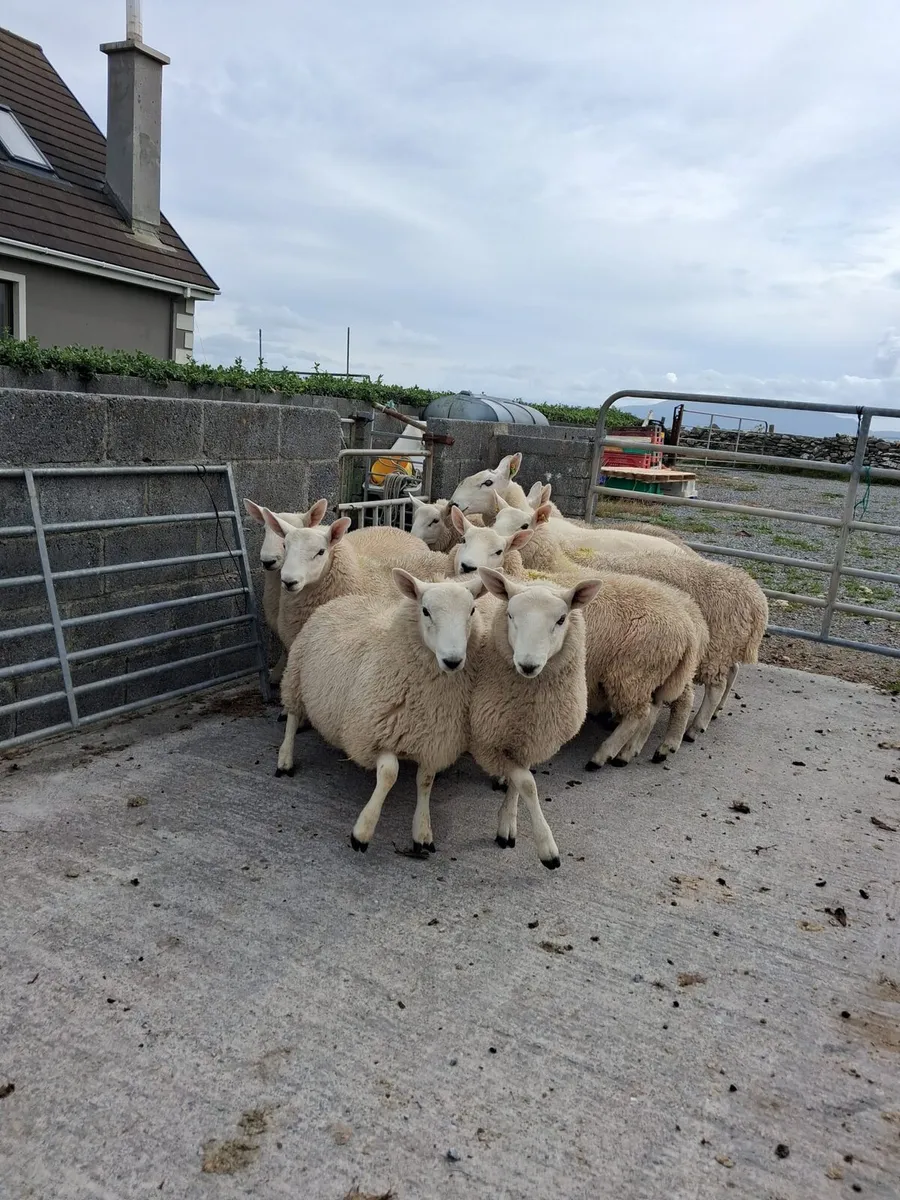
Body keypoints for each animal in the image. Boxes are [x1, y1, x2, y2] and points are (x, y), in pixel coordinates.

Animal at [277, 569, 484, 853]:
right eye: (425, 611)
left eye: (472, 610)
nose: (452, 660)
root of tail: (343, 599)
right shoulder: (373, 734)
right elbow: (388, 773)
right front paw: (362, 832)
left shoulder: (432, 741)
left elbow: (425, 781)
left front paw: (422, 832)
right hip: (295, 675)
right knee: (292, 716)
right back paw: (285, 759)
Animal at [469, 568, 603, 869]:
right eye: (510, 615)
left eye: (561, 619)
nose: (528, 665)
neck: (530, 704)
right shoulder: (486, 740)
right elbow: (528, 784)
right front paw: (547, 848)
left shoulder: (533, 734)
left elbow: (521, 781)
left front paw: (507, 822)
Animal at [562, 546, 768, 740]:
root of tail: (758, 600)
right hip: (726, 647)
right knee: (732, 671)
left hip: (718, 647)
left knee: (716, 686)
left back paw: (695, 729)